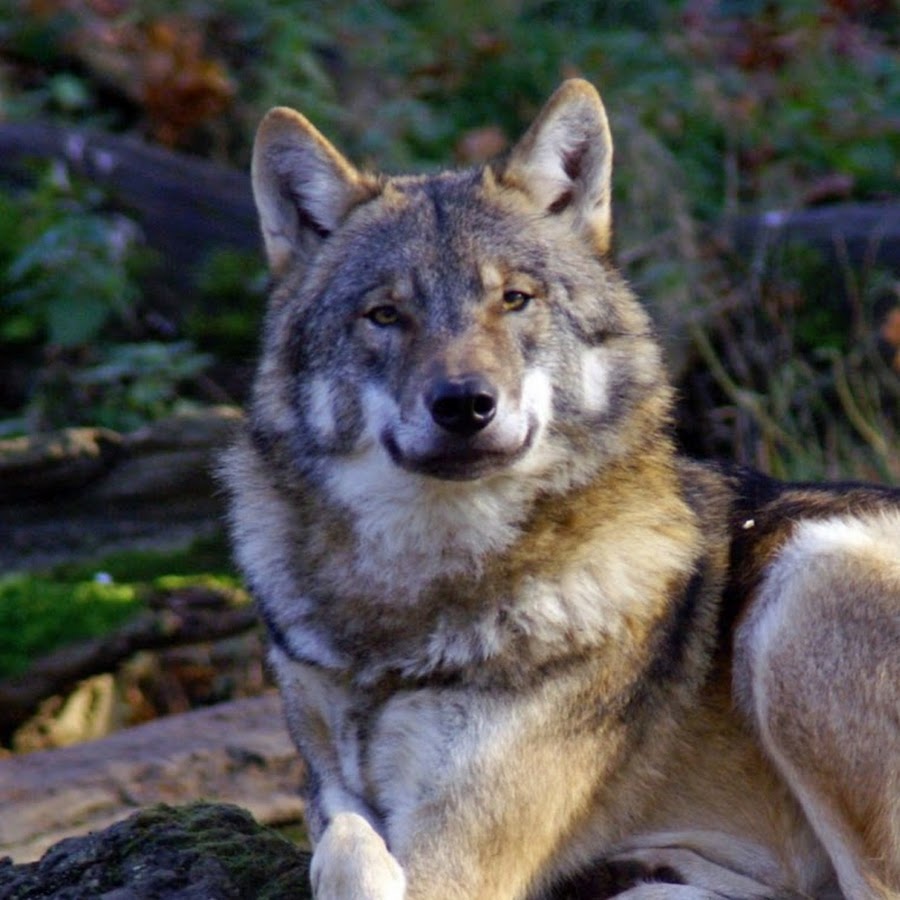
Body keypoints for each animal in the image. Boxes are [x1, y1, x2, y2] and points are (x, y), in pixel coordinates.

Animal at [223, 79, 900, 900]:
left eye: (515, 299)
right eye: (385, 315)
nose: (464, 405)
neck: (410, 605)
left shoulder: (464, 850)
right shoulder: (327, 781)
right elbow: (346, 846)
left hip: (806, 585)